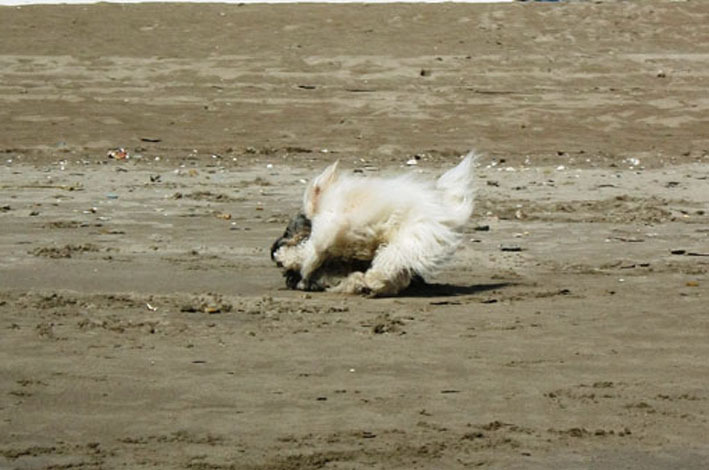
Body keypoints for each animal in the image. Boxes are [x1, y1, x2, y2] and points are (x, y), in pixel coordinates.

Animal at [271, 151, 477, 296]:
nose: (273, 249)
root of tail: (447, 213)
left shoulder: (329, 226)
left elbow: (310, 250)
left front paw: (289, 258)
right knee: (396, 271)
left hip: (409, 240)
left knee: (390, 262)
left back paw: (371, 280)